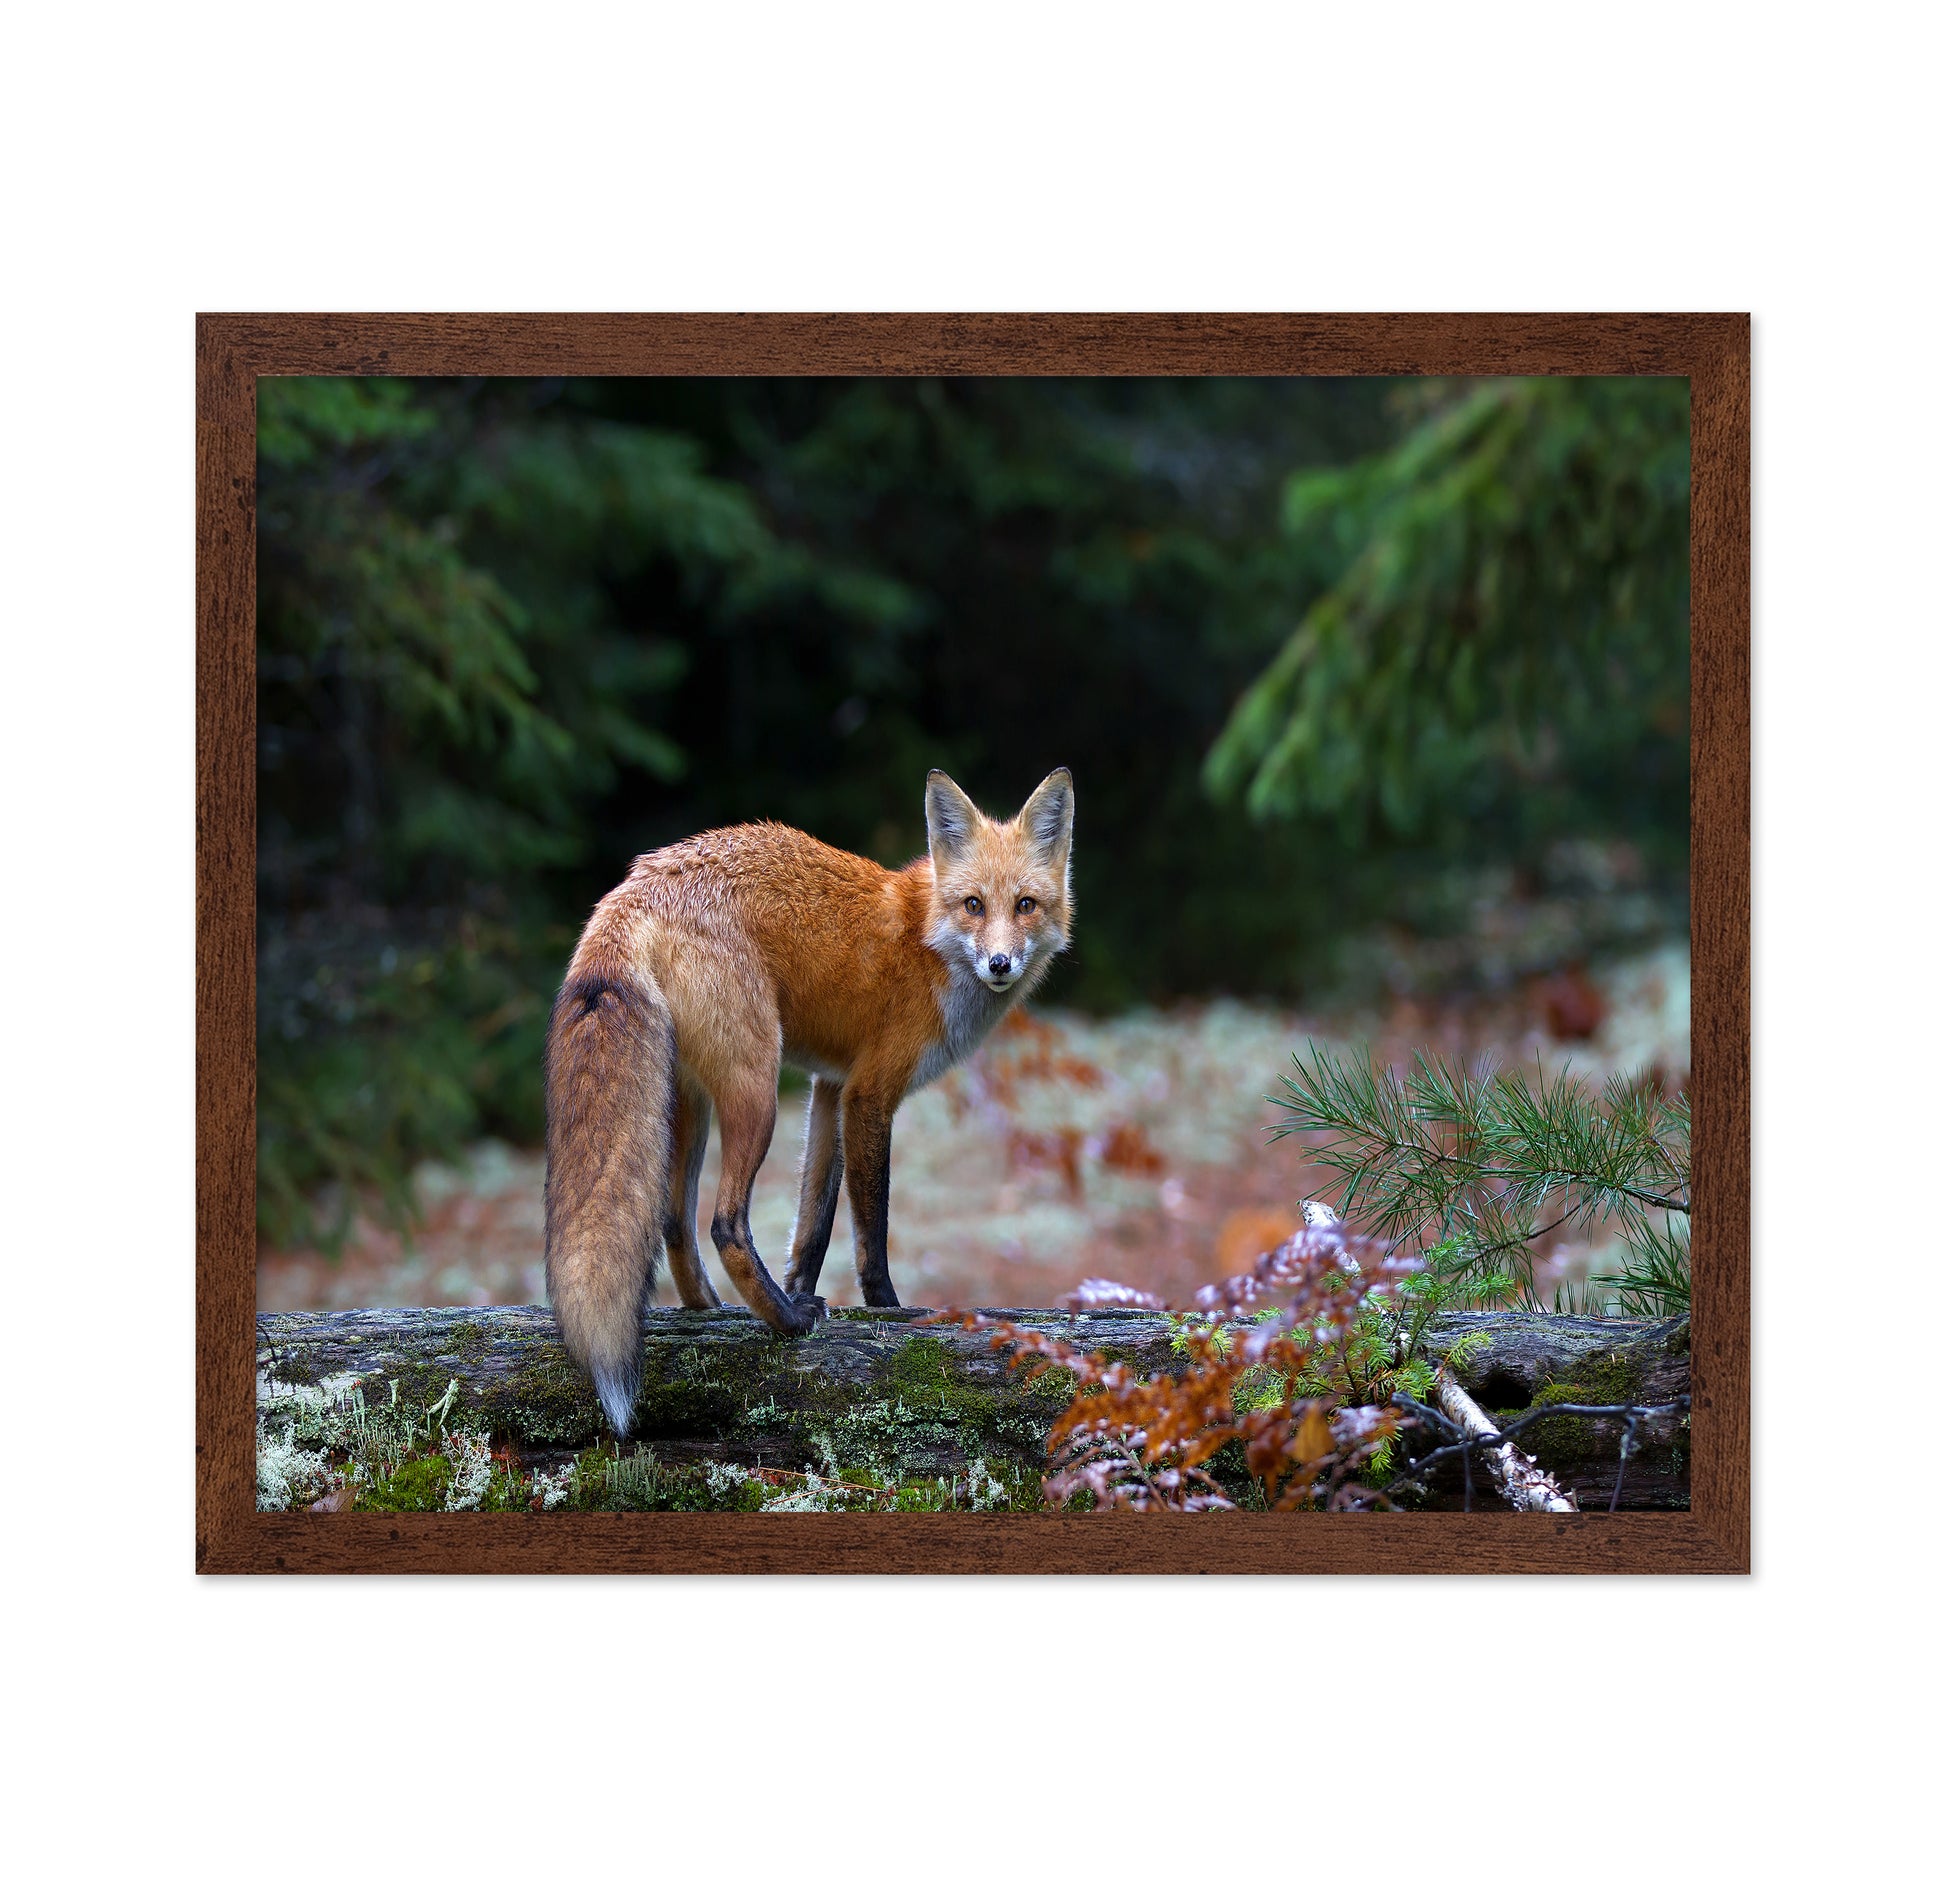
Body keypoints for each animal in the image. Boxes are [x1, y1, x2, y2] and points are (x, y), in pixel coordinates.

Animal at [543, 766, 1075, 1434]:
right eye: (973, 904)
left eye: (1025, 905)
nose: (1000, 963)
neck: (928, 942)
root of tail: (635, 885)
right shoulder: (869, 1095)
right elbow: (870, 1230)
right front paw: (887, 1311)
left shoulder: (831, 1089)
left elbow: (813, 1224)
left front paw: (800, 1287)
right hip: (756, 1089)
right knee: (724, 1224)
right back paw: (784, 1322)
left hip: (691, 1102)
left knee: (673, 1221)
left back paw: (715, 1311)